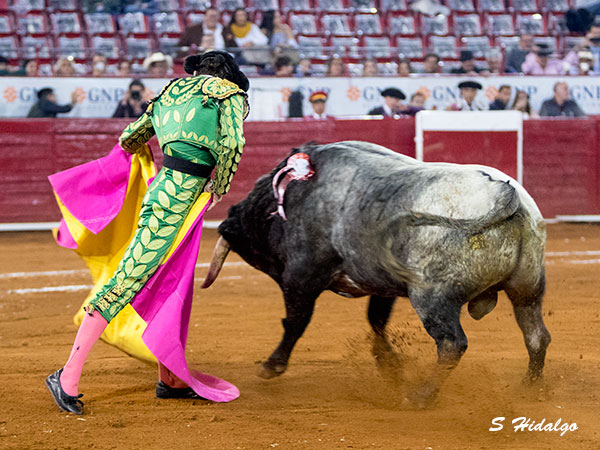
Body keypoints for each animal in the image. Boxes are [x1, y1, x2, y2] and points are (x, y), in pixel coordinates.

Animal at [204, 141, 552, 400]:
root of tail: (506, 195)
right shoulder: (382, 283)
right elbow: (377, 320)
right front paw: (391, 366)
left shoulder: (301, 276)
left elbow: (296, 322)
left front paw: (271, 366)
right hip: (527, 288)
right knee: (536, 336)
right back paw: (530, 388)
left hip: (432, 298)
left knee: (452, 344)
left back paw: (421, 396)